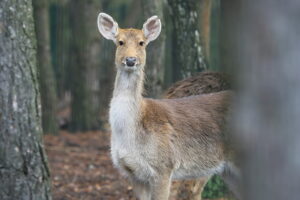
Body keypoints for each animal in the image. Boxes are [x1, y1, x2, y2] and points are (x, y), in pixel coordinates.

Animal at [97, 12, 240, 200]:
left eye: (141, 42)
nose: (131, 60)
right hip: (228, 170)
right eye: (120, 42)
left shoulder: (164, 166)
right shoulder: (134, 174)